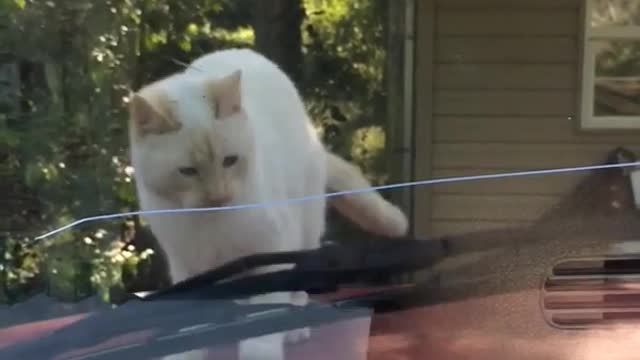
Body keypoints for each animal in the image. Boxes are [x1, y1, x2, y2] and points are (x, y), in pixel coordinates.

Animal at [129, 48, 408, 360]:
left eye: (230, 161)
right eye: (188, 171)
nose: (219, 197)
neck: (211, 224)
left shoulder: (270, 248)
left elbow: (263, 320)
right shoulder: (187, 264)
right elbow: (190, 321)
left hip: (303, 228)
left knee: (297, 286)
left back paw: (295, 326)